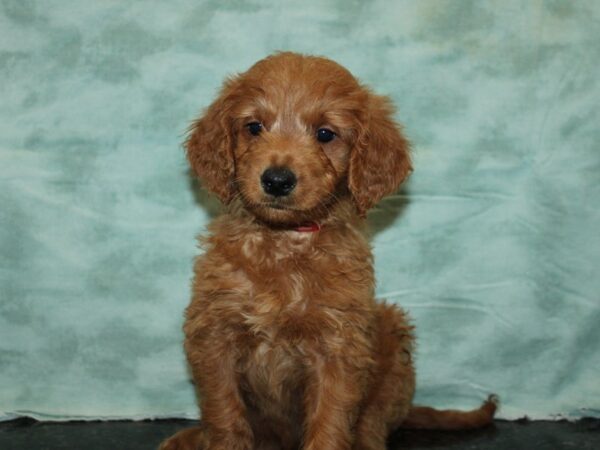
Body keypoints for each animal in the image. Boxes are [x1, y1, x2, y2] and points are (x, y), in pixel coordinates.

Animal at [161, 51, 496, 450]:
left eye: (325, 134)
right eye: (254, 127)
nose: (277, 180)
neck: (285, 242)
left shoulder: (340, 345)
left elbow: (331, 422)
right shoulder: (214, 334)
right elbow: (225, 417)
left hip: (391, 334)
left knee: (372, 423)